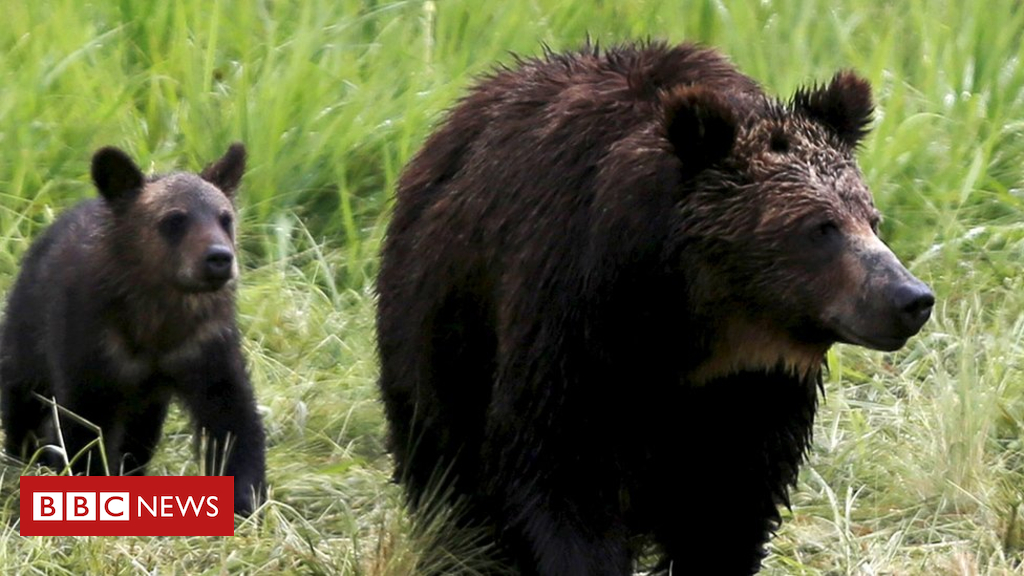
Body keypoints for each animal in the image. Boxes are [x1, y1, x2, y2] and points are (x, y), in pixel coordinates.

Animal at [0, 144, 266, 516]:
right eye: (174, 219)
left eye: (225, 218)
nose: (219, 259)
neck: (156, 323)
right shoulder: (91, 345)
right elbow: (86, 425)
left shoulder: (204, 347)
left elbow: (233, 418)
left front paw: (246, 500)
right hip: (26, 334)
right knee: (23, 401)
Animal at [376, 41, 934, 575]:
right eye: (820, 228)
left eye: (871, 219)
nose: (910, 298)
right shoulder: (571, 329)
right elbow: (563, 481)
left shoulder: (754, 392)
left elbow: (729, 507)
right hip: (440, 329)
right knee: (446, 469)